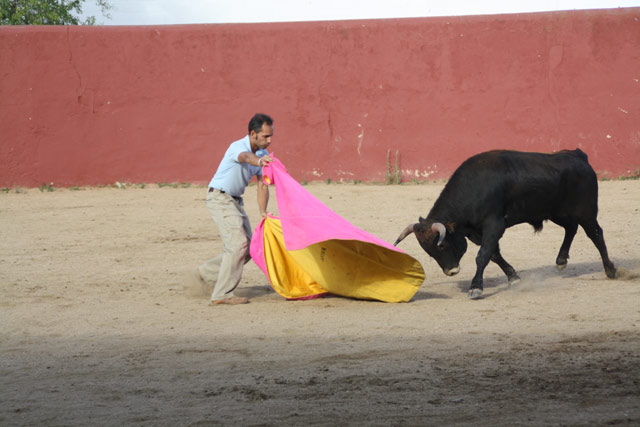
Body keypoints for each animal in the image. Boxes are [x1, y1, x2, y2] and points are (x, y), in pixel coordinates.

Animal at [392, 150, 616, 300]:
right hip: (555, 212)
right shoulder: (476, 232)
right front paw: (514, 277)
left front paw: (476, 288)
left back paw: (610, 270)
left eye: (443, 245)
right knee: (571, 228)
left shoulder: (494, 225)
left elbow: (483, 255)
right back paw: (561, 260)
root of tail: (578, 155)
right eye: (428, 252)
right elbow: (493, 254)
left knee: (596, 234)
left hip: (585, 212)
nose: (451, 271)